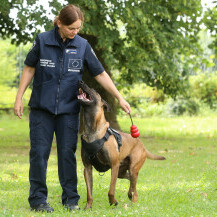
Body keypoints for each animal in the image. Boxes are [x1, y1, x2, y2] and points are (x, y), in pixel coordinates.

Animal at [77, 80, 165, 209]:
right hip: (122, 172)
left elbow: (111, 190)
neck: (93, 131)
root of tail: (142, 145)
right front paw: (88, 207)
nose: (80, 81)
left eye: (93, 89)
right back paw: (129, 194)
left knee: (134, 187)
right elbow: (89, 193)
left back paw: (133, 202)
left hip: (132, 168)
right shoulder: (87, 168)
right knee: (131, 181)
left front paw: (113, 202)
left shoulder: (114, 165)